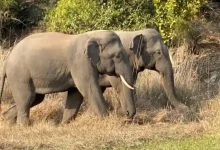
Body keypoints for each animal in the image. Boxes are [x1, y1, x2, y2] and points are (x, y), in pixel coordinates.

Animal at [0, 30, 136, 125]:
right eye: (118, 55)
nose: (126, 115)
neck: (93, 35)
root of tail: (7, 60)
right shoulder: (80, 62)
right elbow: (89, 88)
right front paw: (107, 120)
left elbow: (75, 93)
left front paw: (64, 124)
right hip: (20, 75)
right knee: (27, 98)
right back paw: (24, 125)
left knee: (36, 98)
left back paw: (6, 119)